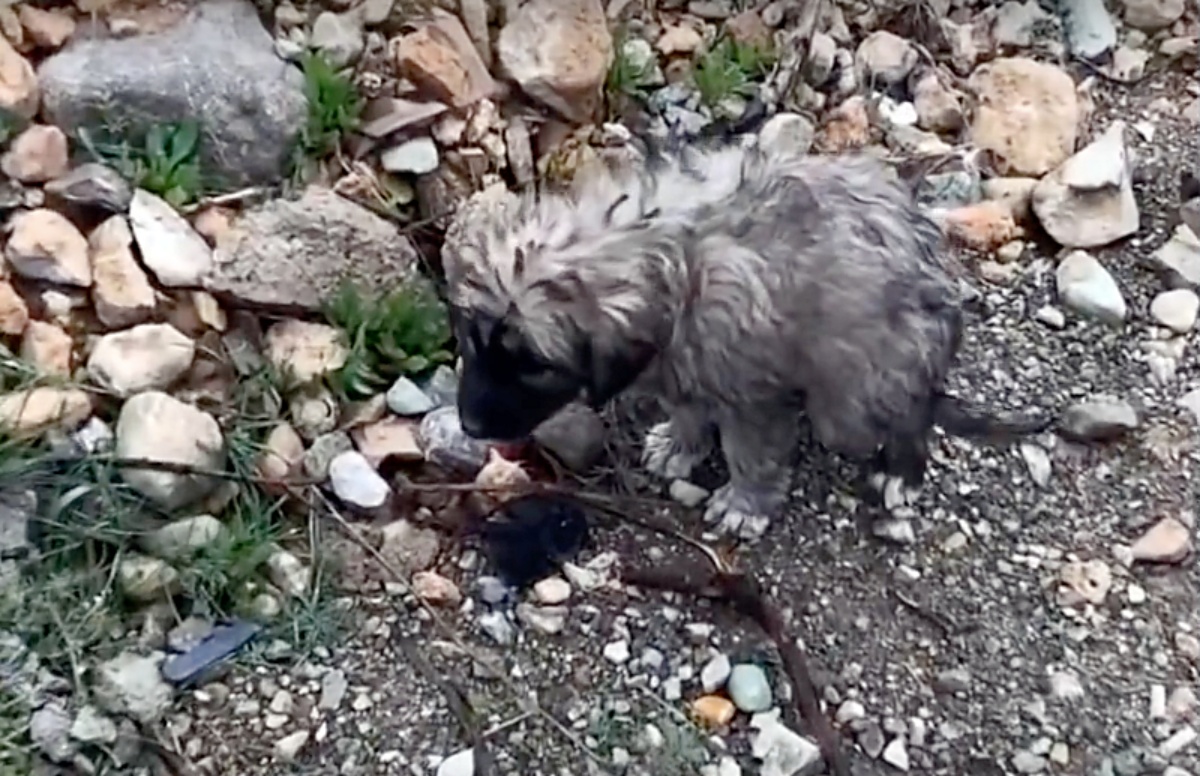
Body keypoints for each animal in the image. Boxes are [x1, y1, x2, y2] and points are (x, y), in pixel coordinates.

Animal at [444, 140, 1051, 539]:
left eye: (533, 364)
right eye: (472, 341)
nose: (469, 426)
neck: (668, 259)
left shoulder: (752, 395)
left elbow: (752, 453)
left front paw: (744, 503)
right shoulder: (681, 364)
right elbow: (688, 408)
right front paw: (681, 446)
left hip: (857, 392)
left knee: (909, 414)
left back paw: (902, 471)